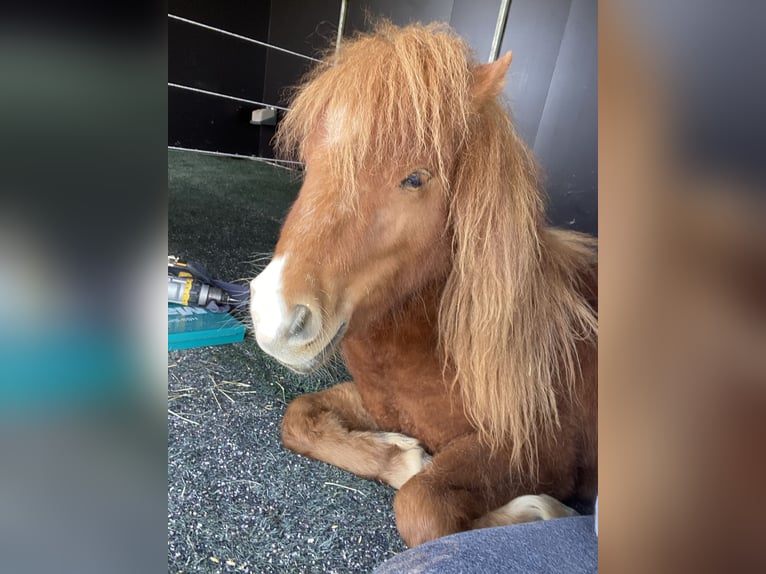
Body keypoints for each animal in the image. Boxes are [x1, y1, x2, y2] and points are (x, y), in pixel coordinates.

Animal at [249, 23, 598, 548]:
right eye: (309, 162)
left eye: (415, 178)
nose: (274, 317)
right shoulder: (379, 403)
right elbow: (299, 416)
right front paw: (399, 455)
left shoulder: (539, 453)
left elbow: (422, 506)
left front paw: (539, 512)